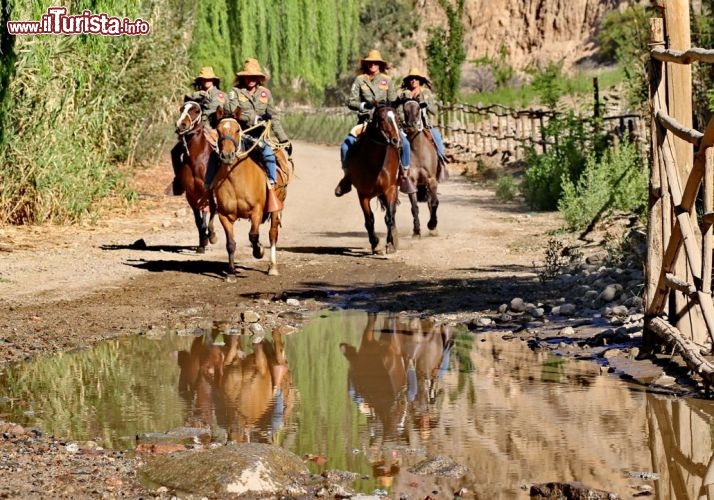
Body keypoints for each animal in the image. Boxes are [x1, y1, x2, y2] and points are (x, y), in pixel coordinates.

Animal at [173, 99, 217, 252]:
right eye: (181, 109)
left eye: (196, 110)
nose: (181, 124)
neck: (197, 160)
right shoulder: (191, 194)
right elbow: (198, 219)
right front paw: (202, 241)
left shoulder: (208, 192)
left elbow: (212, 211)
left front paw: (212, 236)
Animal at [211, 106, 290, 278]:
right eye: (218, 130)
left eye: (237, 130)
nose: (227, 155)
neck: (236, 180)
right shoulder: (224, 215)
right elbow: (230, 243)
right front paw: (231, 273)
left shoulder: (257, 211)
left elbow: (253, 235)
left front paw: (259, 251)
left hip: (277, 207)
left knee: (272, 234)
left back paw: (272, 267)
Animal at [344, 104, 404, 254]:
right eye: (382, 119)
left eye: (398, 118)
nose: (397, 141)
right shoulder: (362, 194)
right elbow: (369, 219)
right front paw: (375, 243)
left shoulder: (390, 190)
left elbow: (389, 217)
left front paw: (390, 244)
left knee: (392, 214)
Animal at [400, 100, 440, 237]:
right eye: (405, 110)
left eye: (418, 109)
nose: (411, 124)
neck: (418, 150)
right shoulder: (411, 182)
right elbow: (414, 208)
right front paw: (416, 231)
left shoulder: (431, 180)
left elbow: (434, 203)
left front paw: (432, 224)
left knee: (430, 202)